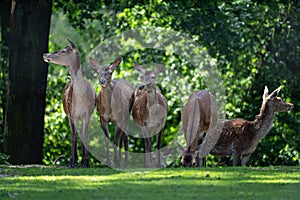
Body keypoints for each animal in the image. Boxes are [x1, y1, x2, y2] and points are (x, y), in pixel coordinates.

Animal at [42, 39, 95, 167]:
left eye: (63, 51)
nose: (45, 54)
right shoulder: (71, 114)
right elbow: (73, 135)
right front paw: (71, 162)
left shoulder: (87, 114)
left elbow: (85, 135)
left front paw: (86, 162)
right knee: (74, 133)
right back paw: (75, 159)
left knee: (80, 133)